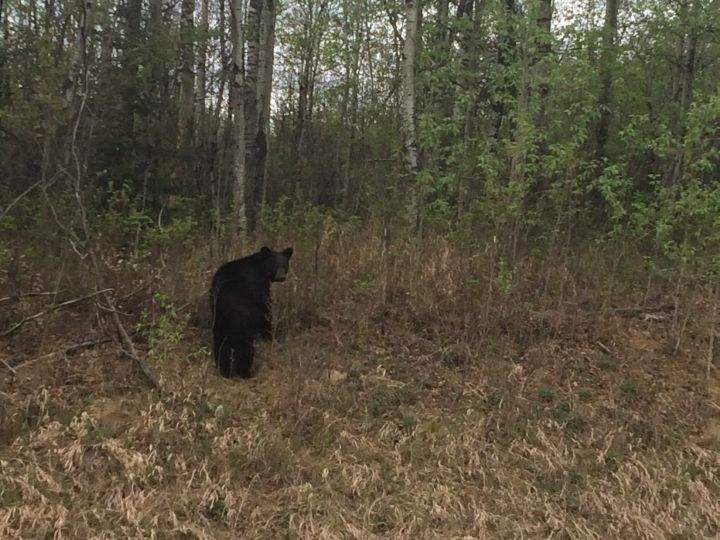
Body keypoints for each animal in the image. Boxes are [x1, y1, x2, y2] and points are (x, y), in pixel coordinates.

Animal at [210, 246, 293, 378]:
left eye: (284, 264)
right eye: (274, 264)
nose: (281, 276)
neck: (260, 268)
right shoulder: (259, 288)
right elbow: (266, 313)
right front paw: (271, 339)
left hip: (218, 319)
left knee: (220, 344)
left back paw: (224, 371)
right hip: (242, 320)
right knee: (245, 347)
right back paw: (245, 373)